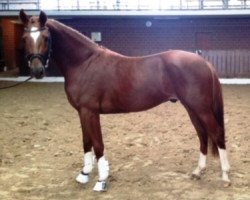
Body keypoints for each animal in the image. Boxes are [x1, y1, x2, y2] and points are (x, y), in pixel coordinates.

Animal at [19, 10, 230, 191]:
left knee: (217, 133)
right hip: (192, 108)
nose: (37, 71)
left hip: (201, 108)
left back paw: (225, 176)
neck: (84, 63)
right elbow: (86, 142)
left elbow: (98, 145)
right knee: (203, 135)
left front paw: (101, 181)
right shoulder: (82, 112)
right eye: (25, 38)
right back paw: (198, 171)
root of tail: (204, 62)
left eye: (46, 38)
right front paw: (84, 174)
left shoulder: (90, 112)